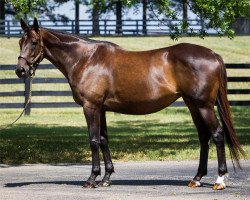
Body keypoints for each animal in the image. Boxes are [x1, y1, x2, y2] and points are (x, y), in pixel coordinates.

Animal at [15, 18, 244, 191]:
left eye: (34, 42)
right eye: (20, 42)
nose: (20, 71)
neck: (86, 59)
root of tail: (213, 55)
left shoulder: (91, 107)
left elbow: (93, 141)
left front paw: (92, 179)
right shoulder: (101, 109)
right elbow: (104, 140)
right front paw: (106, 178)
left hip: (204, 105)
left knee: (217, 135)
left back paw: (219, 180)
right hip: (192, 104)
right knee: (204, 137)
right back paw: (196, 179)